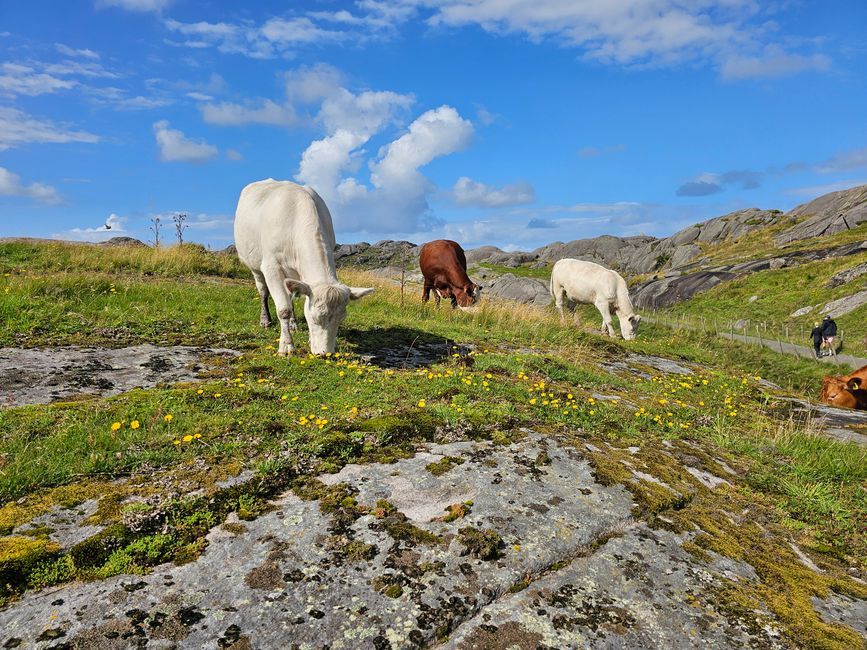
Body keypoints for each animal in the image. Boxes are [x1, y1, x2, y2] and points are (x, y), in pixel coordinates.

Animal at [234, 178, 372, 354]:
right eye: (314, 317)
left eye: (341, 319)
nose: (324, 353)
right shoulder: (271, 267)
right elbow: (283, 309)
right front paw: (286, 346)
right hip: (254, 265)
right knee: (263, 291)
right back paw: (265, 320)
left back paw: (293, 324)